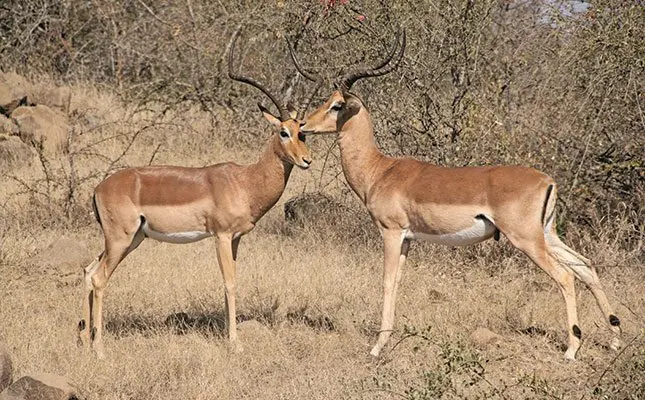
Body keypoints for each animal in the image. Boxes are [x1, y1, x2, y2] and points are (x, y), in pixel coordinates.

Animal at [78, 30, 321, 357]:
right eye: (284, 132)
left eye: (303, 132)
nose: (307, 160)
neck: (244, 182)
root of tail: (99, 188)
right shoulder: (220, 236)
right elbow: (229, 283)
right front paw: (235, 344)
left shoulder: (236, 239)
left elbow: (233, 280)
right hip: (120, 239)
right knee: (99, 278)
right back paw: (100, 350)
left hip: (131, 239)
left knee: (88, 271)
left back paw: (83, 339)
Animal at [292, 29, 621, 360]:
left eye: (337, 105)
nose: (303, 125)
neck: (380, 170)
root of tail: (548, 180)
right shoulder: (408, 239)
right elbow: (397, 282)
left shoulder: (391, 232)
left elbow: (385, 281)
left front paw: (377, 347)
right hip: (547, 234)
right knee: (585, 266)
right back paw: (615, 340)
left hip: (526, 239)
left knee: (566, 276)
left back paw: (571, 349)